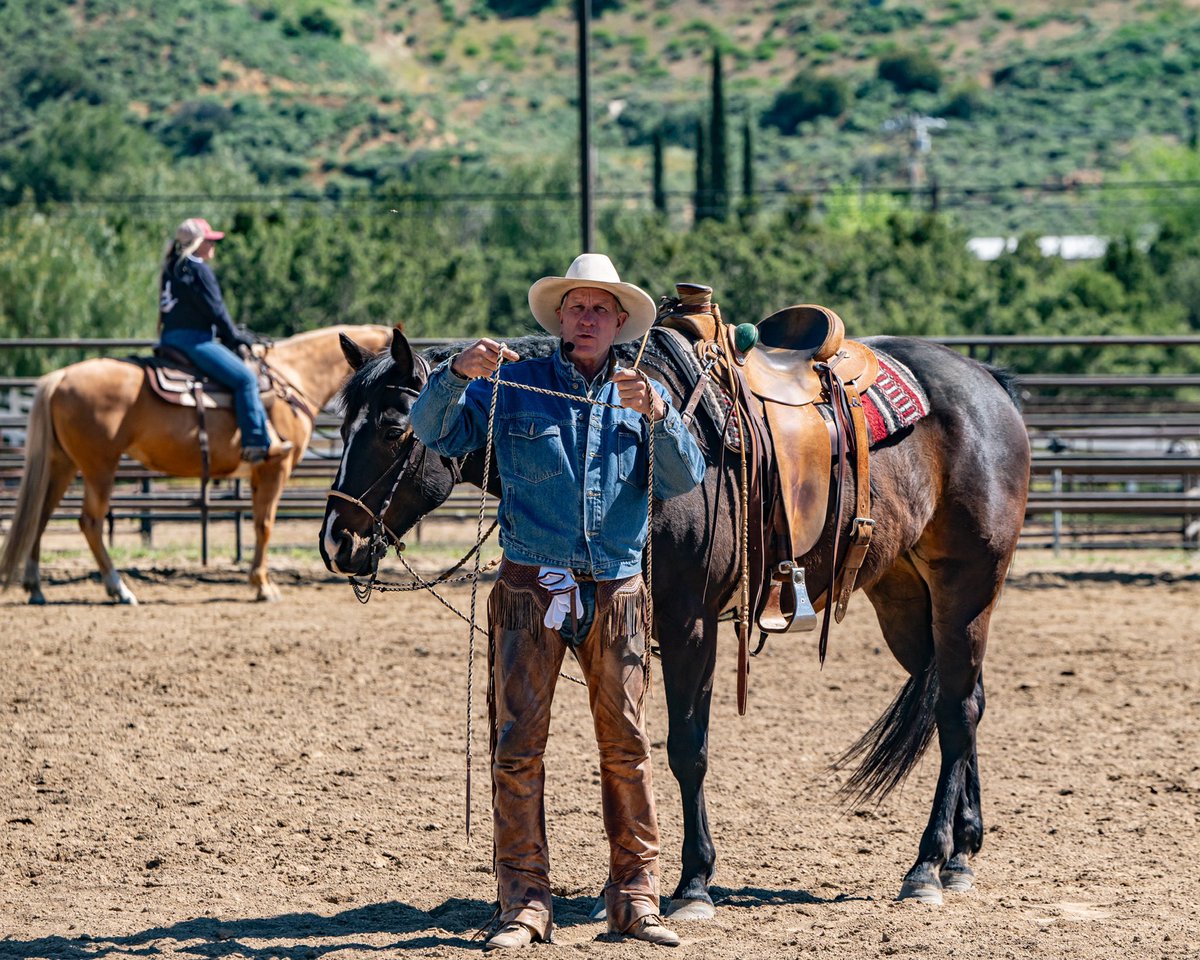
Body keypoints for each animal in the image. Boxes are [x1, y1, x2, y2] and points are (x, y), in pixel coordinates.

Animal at [1, 324, 392, 605]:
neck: (294, 377)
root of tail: (60, 378)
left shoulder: (257, 475)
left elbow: (257, 525)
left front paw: (258, 581)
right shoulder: (274, 469)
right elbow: (265, 525)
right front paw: (263, 586)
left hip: (63, 464)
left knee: (40, 515)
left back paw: (36, 587)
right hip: (100, 466)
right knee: (90, 522)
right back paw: (119, 589)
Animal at [319, 323, 1030, 912]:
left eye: (393, 427)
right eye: (343, 426)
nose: (336, 543)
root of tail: (986, 383)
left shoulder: (692, 623)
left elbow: (687, 748)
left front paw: (693, 882)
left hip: (967, 588)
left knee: (955, 709)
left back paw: (930, 865)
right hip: (906, 599)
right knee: (964, 701)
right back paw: (964, 849)